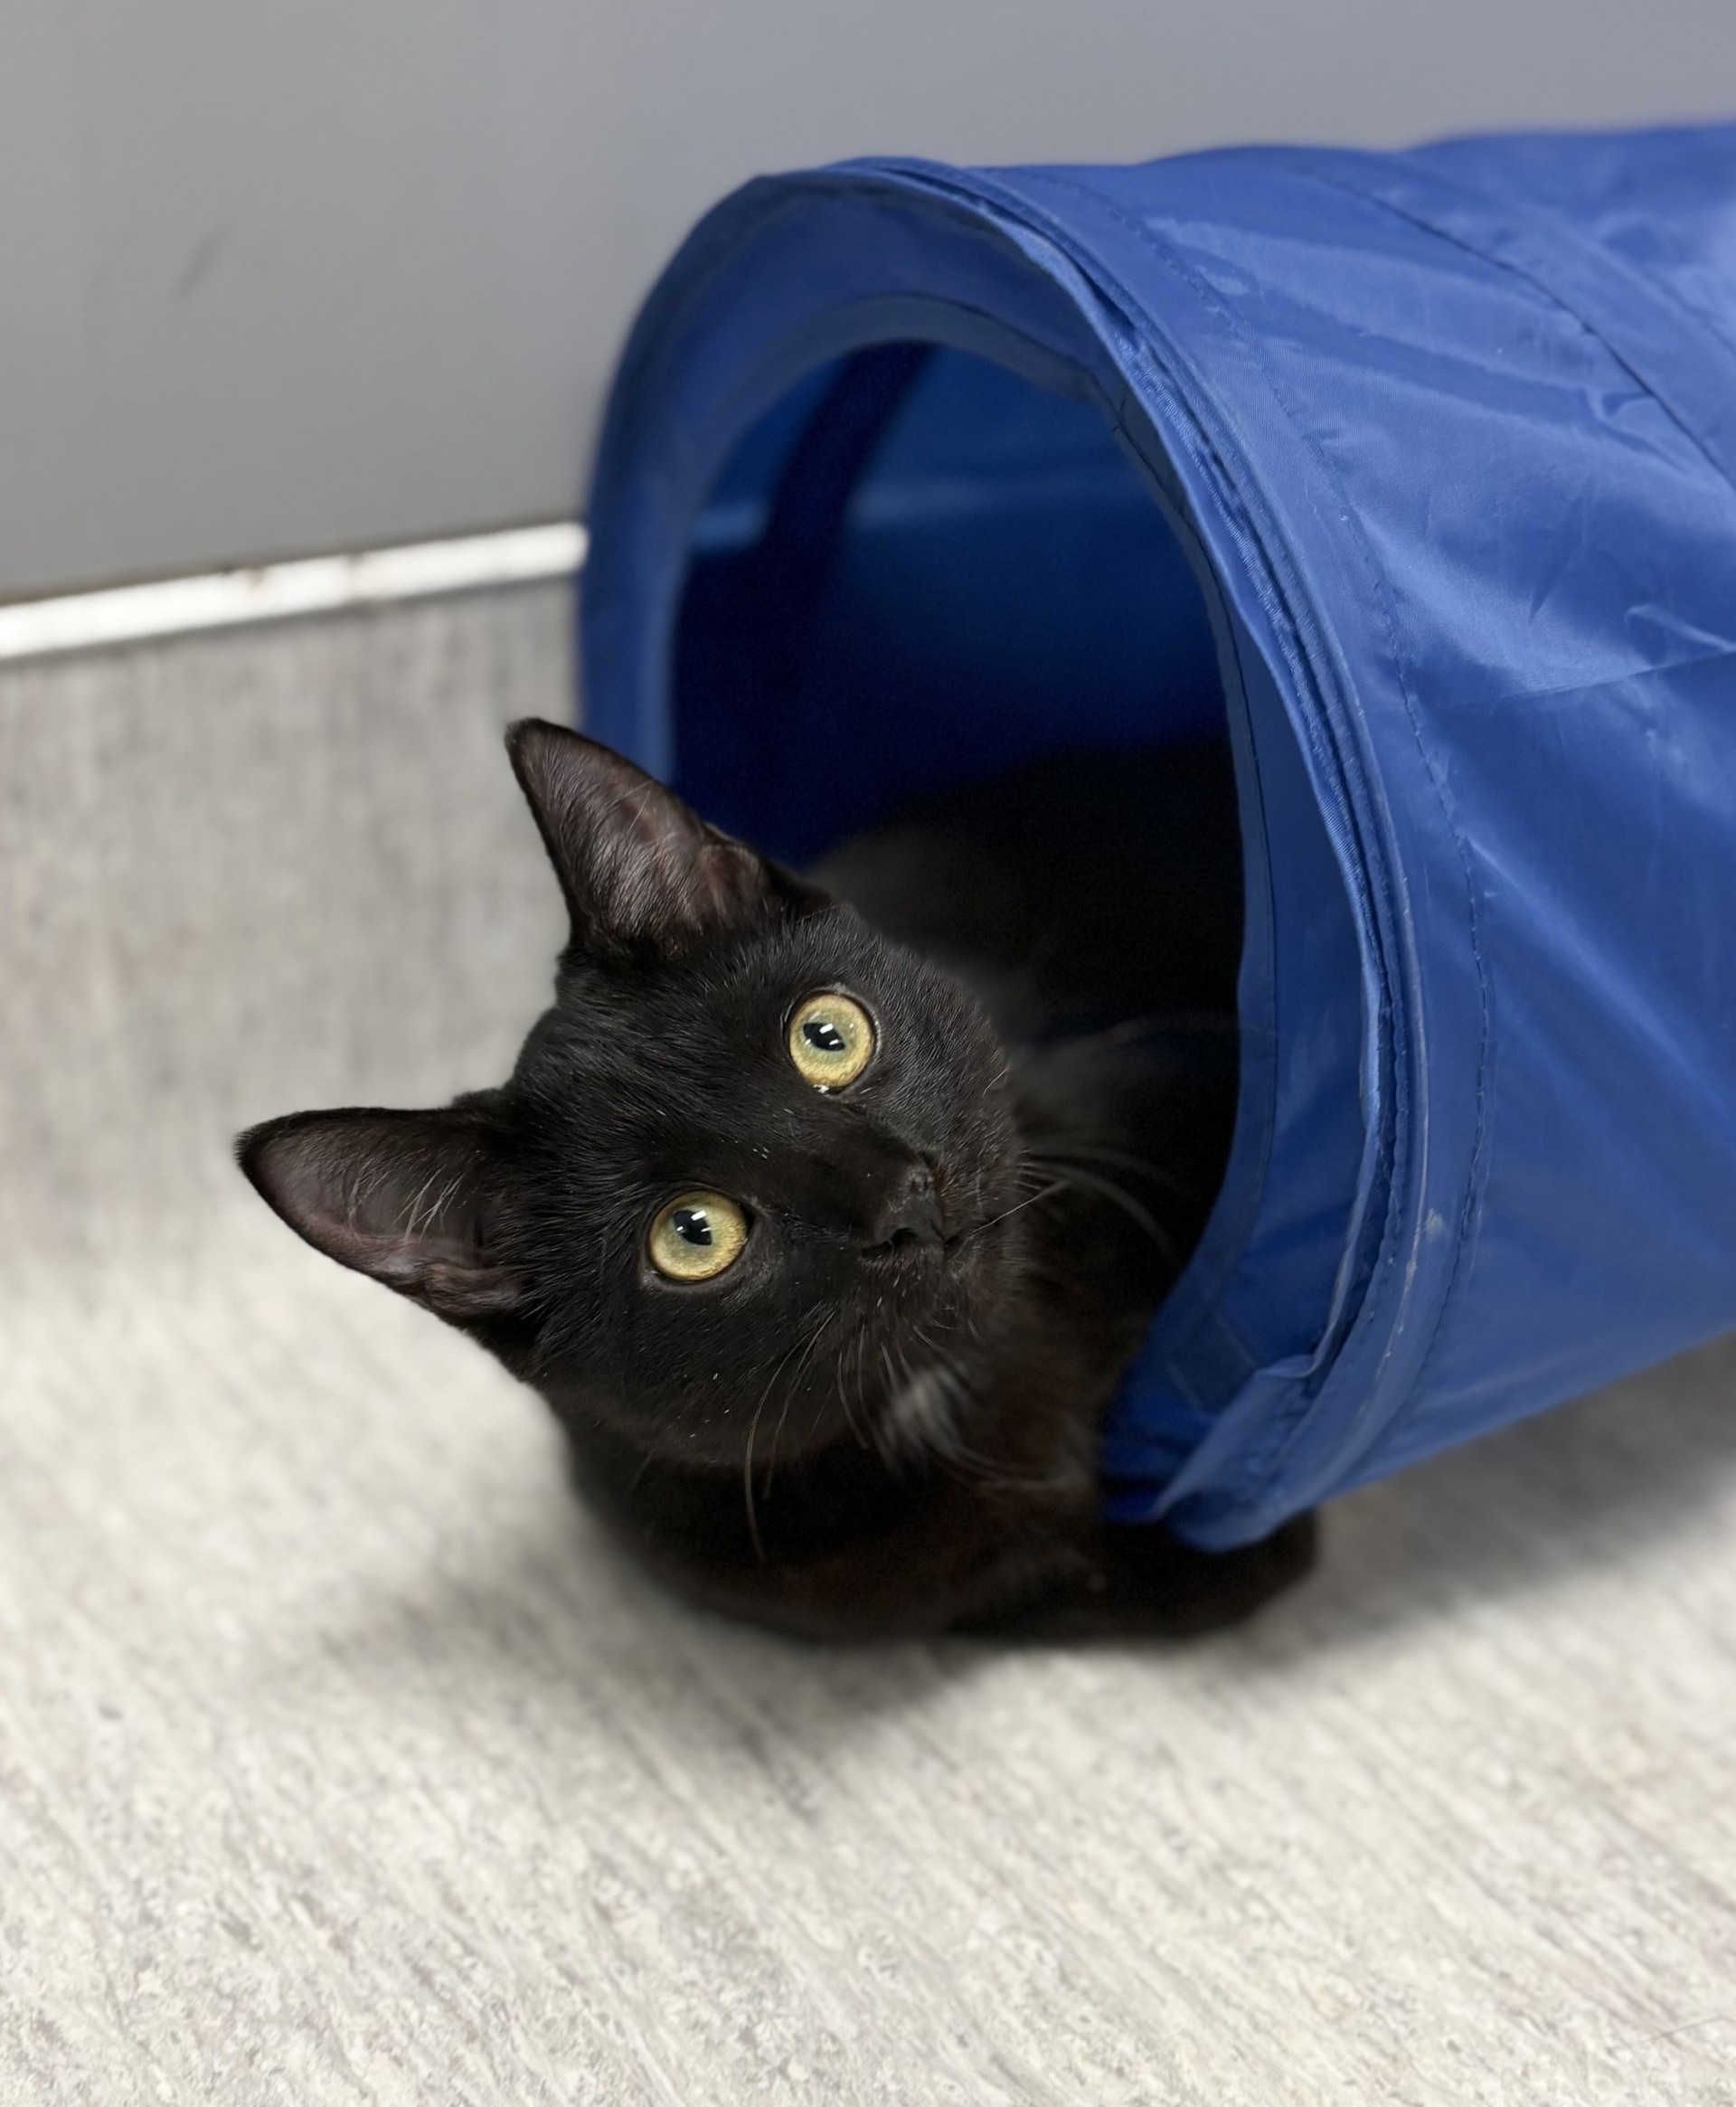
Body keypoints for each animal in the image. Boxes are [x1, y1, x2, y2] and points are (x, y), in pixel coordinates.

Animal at [238, 720, 1314, 1640]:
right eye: (693, 1234)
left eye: (827, 1036)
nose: (902, 1198)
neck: (970, 1378)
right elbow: (1152, 1576)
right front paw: (1237, 1540)